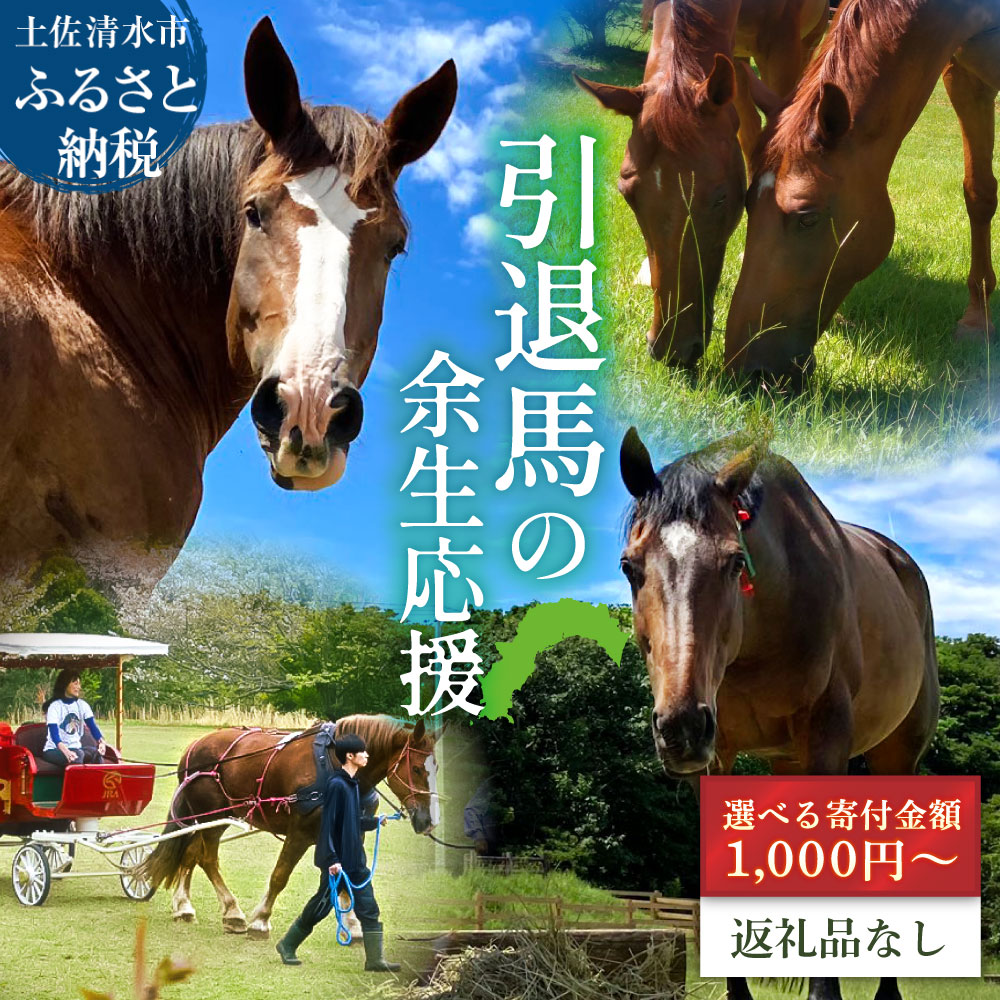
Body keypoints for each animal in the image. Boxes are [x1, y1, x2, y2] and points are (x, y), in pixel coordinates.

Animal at [140, 715, 440, 939]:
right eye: (416, 768)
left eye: (436, 767)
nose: (429, 821)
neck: (336, 767)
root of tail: (195, 746)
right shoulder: (300, 833)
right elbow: (280, 875)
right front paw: (260, 920)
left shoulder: (350, 832)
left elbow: (347, 878)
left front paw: (353, 926)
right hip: (209, 818)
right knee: (206, 858)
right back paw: (232, 912)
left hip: (211, 818)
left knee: (190, 854)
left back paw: (184, 906)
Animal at [619, 427, 939, 1000]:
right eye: (630, 567)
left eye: (734, 562)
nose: (681, 729)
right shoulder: (716, 760)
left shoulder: (826, 741)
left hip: (896, 757)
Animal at [726, 0, 1000, 384]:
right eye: (748, 204)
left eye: (807, 218)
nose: (747, 370)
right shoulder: (964, 78)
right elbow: (979, 193)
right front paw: (978, 317)